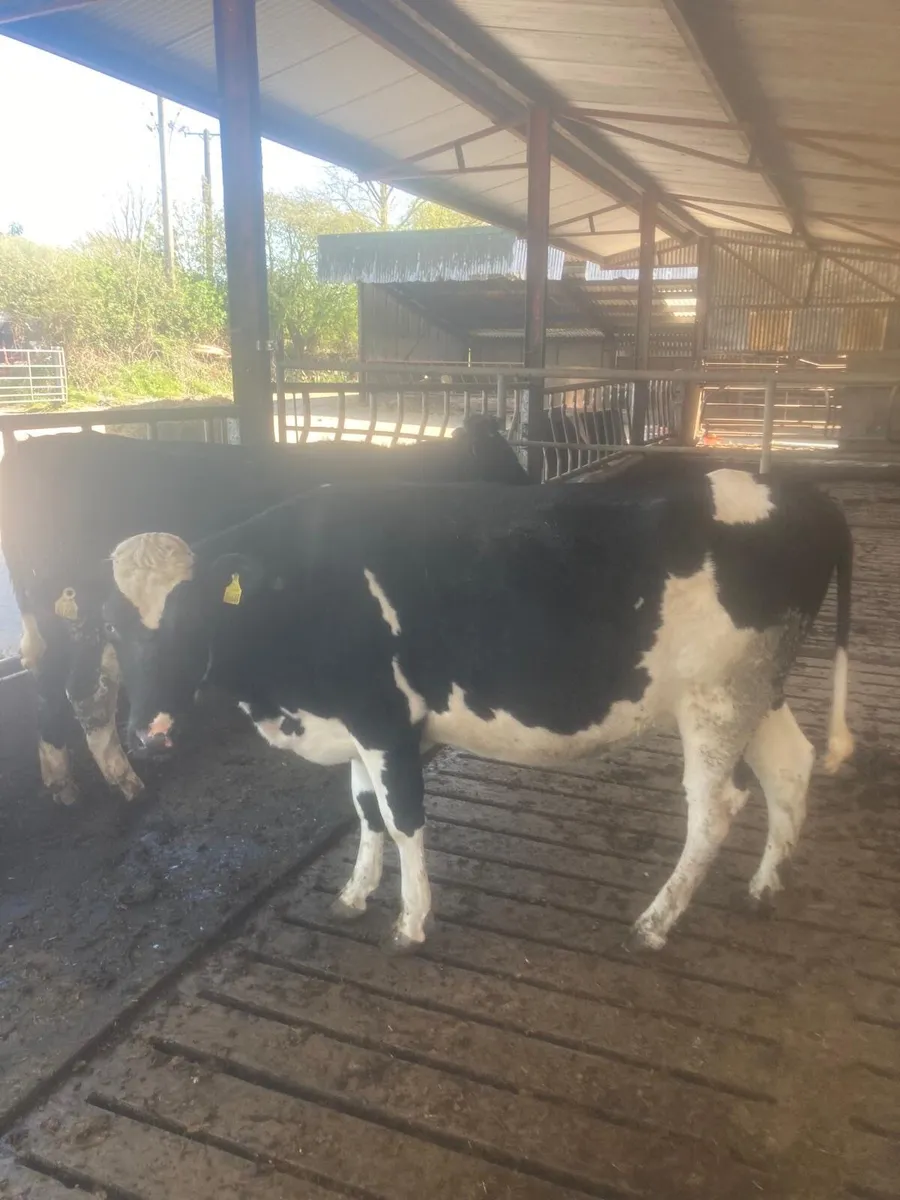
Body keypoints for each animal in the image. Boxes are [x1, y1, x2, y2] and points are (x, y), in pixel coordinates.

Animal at [103, 467, 854, 953]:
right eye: (113, 630)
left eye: (191, 621)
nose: (149, 732)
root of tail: (804, 494)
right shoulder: (351, 724)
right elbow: (365, 810)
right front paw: (353, 896)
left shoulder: (384, 718)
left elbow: (404, 820)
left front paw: (411, 924)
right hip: (757, 686)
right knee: (790, 767)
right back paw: (763, 888)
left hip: (715, 696)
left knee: (716, 807)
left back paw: (655, 923)